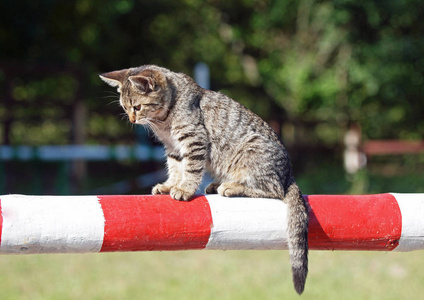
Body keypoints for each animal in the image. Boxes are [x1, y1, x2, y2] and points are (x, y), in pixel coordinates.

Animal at [101, 64, 310, 294]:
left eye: (137, 107)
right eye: (125, 107)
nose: (131, 119)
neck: (165, 119)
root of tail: (289, 175)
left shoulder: (194, 139)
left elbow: (191, 169)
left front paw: (184, 189)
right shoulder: (173, 148)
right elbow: (175, 168)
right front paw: (170, 185)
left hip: (252, 152)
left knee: (274, 190)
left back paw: (231, 187)